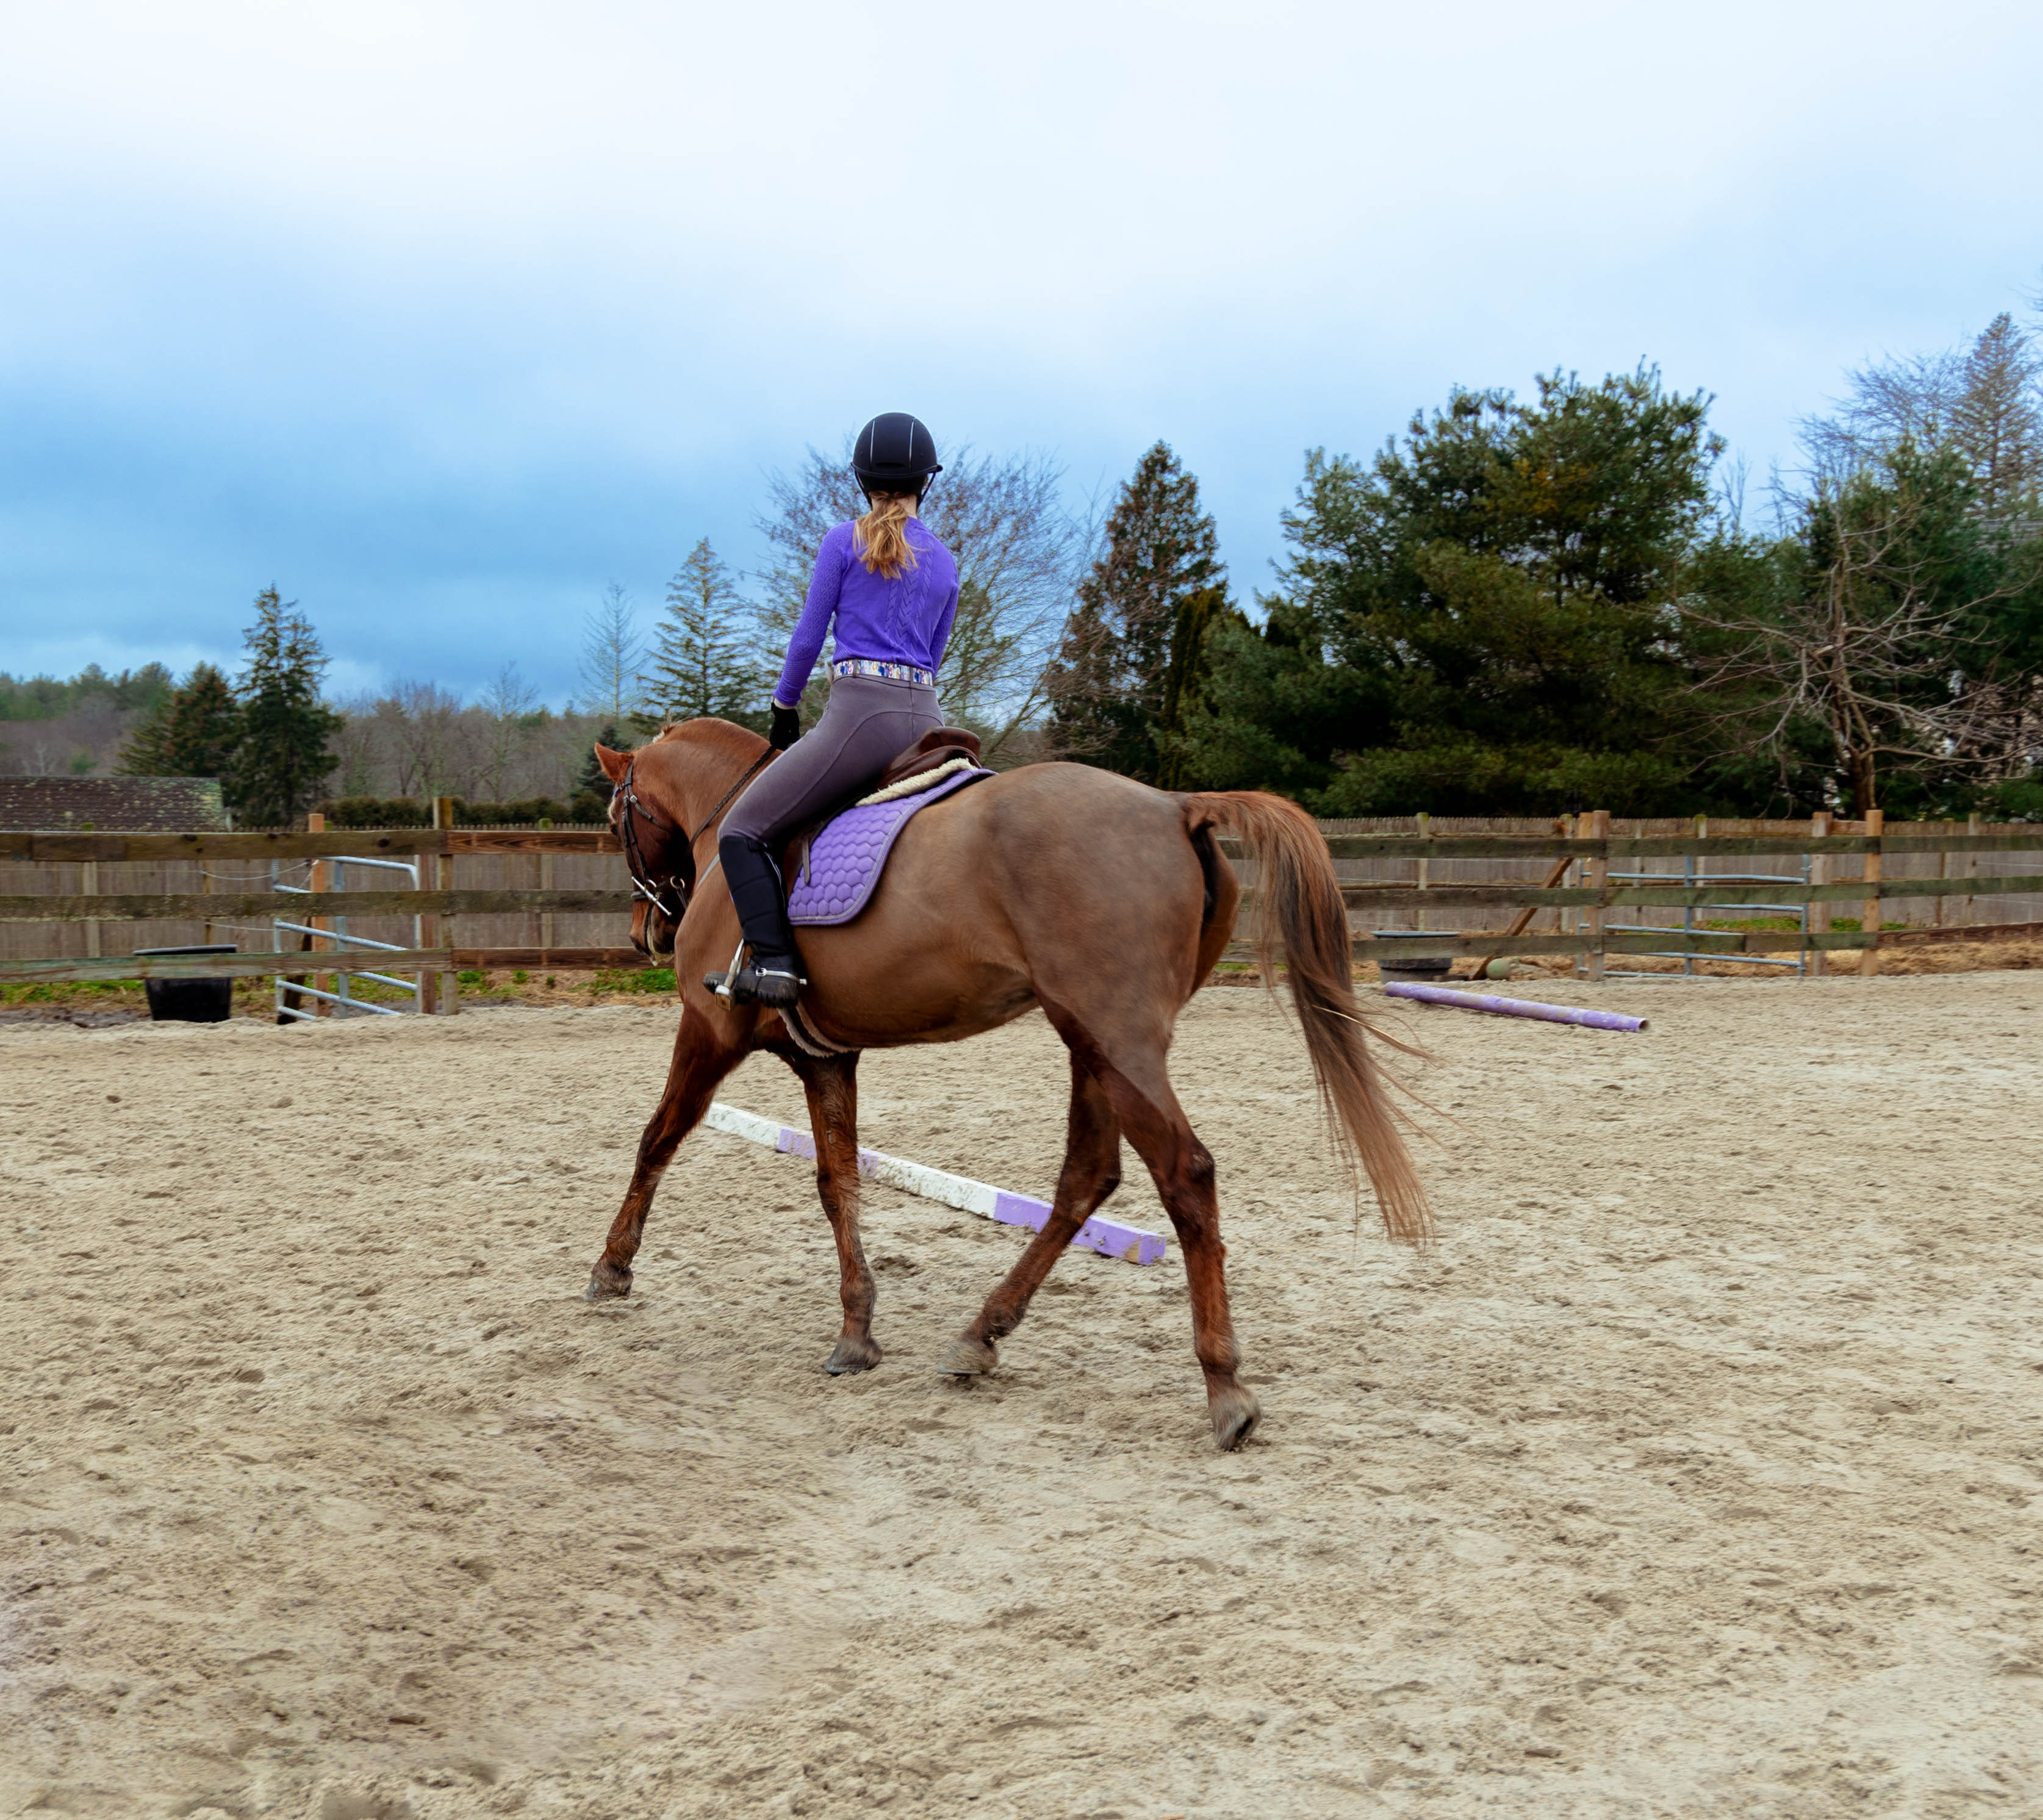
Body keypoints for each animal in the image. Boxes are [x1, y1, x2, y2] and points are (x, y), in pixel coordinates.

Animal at [584, 718, 1430, 1446]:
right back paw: (980, 1335)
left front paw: (611, 1268)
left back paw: (1224, 1389)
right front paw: (857, 1333)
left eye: (616, 817)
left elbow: (658, 1137)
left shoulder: (709, 1029)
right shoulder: (826, 1056)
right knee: (1087, 1176)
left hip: (1117, 1039)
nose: (644, 932)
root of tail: (1175, 803)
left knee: (1184, 1172)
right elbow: (838, 1181)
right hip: (1093, 1043)